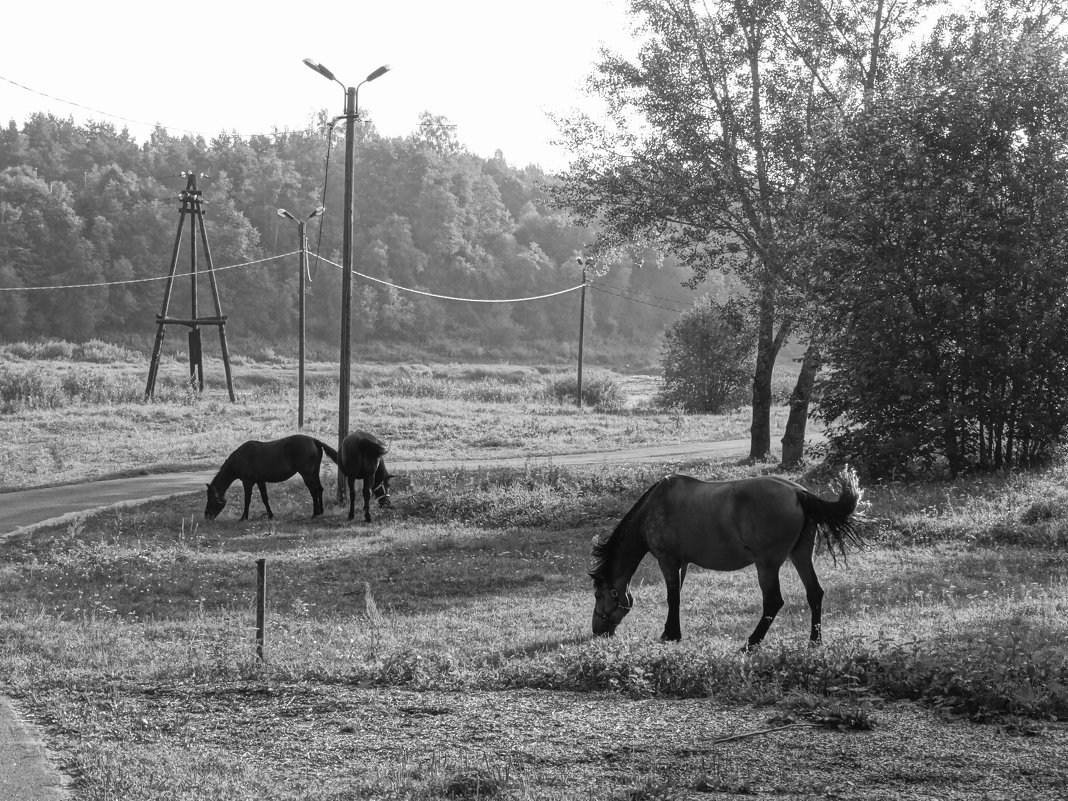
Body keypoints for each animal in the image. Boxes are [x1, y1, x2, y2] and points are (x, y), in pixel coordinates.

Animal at [203, 435, 337, 523]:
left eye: (210, 498)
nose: (206, 516)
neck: (240, 458)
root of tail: (314, 440)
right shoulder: (260, 481)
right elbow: (265, 498)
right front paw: (270, 515)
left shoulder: (247, 483)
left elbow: (247, 500)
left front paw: (243, 517)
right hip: (315, 473)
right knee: (319, 489)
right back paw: (320, 511)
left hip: (307, 475)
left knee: (314, 491)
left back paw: (314, 514)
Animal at [589, 469, 862, 653]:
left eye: (598, 595)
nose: (597, 632)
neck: (652, 508)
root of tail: (798, 492)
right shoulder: (683, 563)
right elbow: (677, 595)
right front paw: (671, 632)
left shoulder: (668, 561)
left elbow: (672, 597)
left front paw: (671, 634)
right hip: (801, 555)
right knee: (814, 593)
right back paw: (815, 641)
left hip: (767, 564)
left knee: (773, 601)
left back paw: (751, 644)